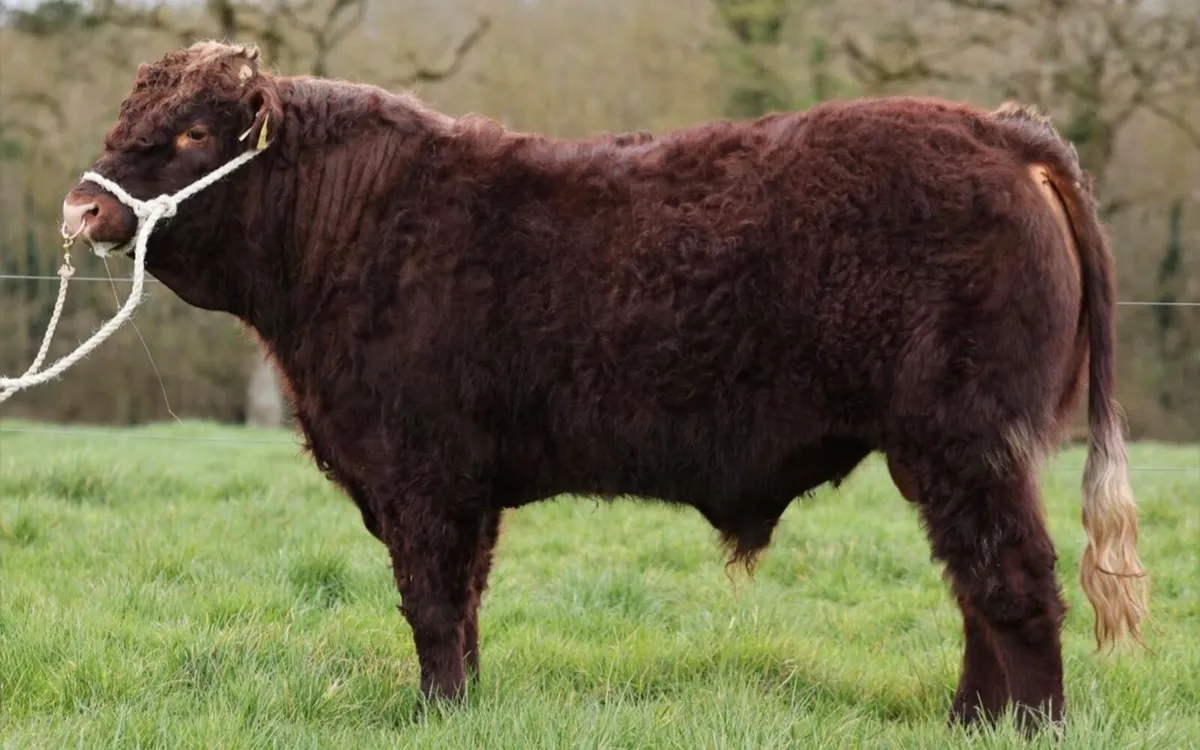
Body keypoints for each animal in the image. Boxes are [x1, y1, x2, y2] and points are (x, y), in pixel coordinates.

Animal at [59, 41, 1148, 731]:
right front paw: (464, 710)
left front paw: (435, 713)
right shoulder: (461, 487)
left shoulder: (422, 476)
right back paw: (970, 723)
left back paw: (1028, 727)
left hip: (966, 441)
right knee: (977, 589)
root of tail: (997, 130)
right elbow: (464, 607)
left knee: (1015, 585)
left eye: (194, 135)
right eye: (125, 116)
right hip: (953, 456)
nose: (81, 207)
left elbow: (431, 606)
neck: (355, 228)